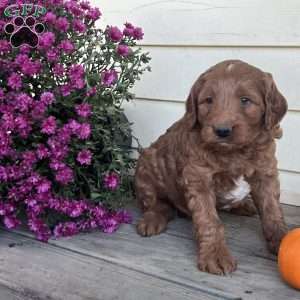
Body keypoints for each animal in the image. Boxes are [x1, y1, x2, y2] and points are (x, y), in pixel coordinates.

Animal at [134, 59, 288, 276]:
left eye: (245, 100)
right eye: (208, 100)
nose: (222, 130)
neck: (234, 153)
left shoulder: (266, 172)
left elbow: (272, 210)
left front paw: (281, 239)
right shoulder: (198, 178)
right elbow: (209, 221)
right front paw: (215, 255)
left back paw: (242, 205)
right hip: (147, 165)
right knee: (157, 204)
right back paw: (152, 220)